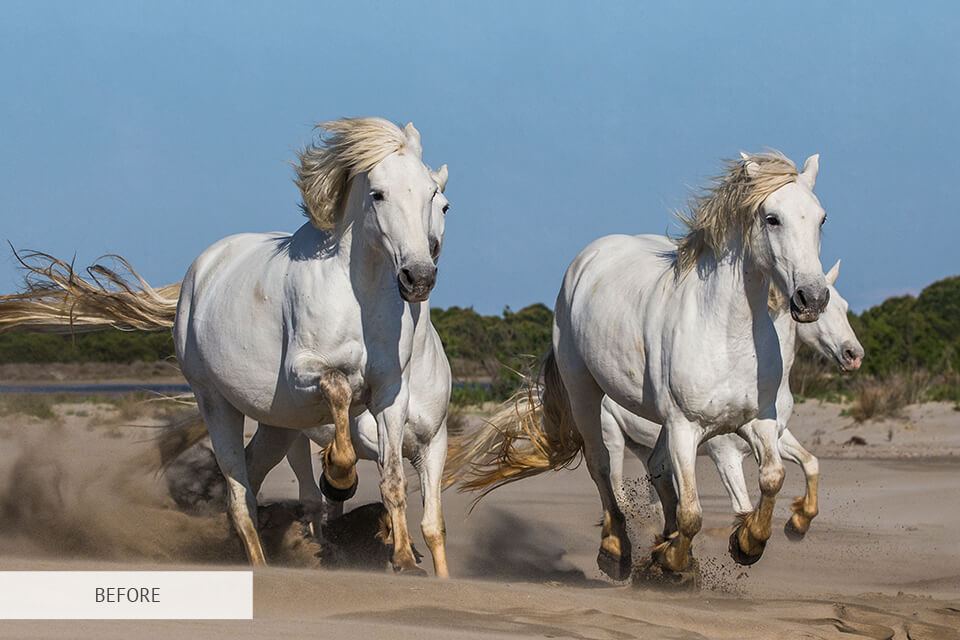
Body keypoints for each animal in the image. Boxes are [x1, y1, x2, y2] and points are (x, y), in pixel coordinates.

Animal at [1, 118, 449, 573]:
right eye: (378, 194)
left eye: (434, 195)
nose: (418, 276)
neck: (357, 294)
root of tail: (200, 269)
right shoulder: (304, 374)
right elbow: (338, 390)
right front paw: (339, 478)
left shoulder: (390, 394)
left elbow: (393, 479)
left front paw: (404, 560)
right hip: (217, 404)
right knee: (239, 495)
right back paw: (261, 561)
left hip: (276, 422)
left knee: (250, 478)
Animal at [445, 151, 830, 579]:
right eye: (772, 218)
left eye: (821, 218)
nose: (812, 298)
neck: (727, 333)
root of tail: (590, 257)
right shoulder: (686, 426)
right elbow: (692, 512)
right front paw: (674, 560)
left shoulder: (757, 420)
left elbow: (773, 477)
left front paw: (747, 542)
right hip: (588, 397)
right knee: (601, 468)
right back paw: (616, 551)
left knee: (658, 469)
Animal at [600, 260, 863, 550]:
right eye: (825, 310)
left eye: (845, 307)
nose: (854, 355)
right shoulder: (726, 456)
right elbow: (743, 506)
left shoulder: (775, 434)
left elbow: (810, 462)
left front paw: (798, 524)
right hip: (612, 438)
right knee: (618, 489)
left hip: (641, 446)